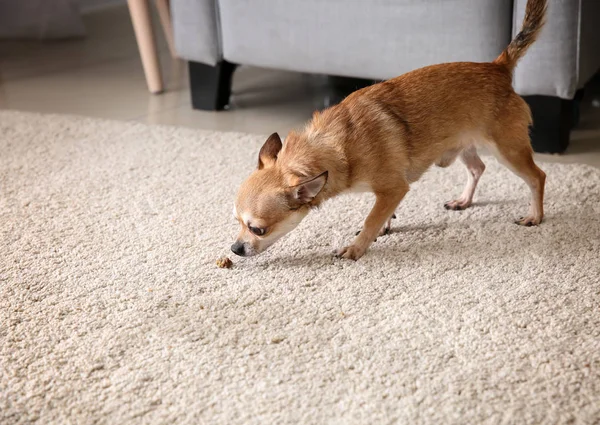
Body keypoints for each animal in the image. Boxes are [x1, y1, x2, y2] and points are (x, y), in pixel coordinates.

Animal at [231, 0, 548, 260]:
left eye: (257, 229)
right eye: (236, 221)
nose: (235, 249)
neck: (337, 146)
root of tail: (498, 67)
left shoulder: (394, 187)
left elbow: (370, 218)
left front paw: (356, 248)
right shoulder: (387, 192)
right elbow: (381, 213)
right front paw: (382, 228)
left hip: (508, 150)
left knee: (537, 177)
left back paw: (535, 216)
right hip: (463, 144)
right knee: (477, 168)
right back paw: (464, 200)